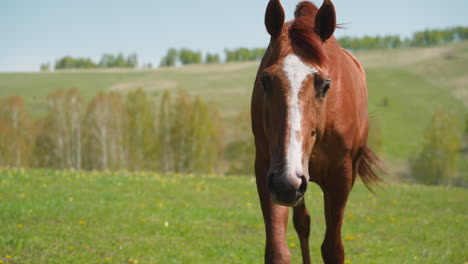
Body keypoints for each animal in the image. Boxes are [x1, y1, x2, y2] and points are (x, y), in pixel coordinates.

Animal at [250, 1, 382, 262]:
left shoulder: (340, 176)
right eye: (266, 80)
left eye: (326, 85)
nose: (286, 183)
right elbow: (278, 250)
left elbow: (333, 249)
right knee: (303, 223)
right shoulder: (269, 171)